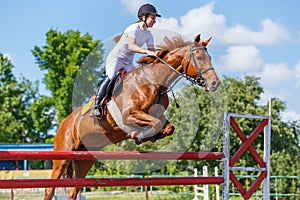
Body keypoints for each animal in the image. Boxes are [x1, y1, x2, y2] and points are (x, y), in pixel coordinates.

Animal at [44, 33, 220, 199]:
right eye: (199, 57)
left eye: (209, 57)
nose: (215, 83)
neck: (154, 82)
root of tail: (64, 123)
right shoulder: (128, 115)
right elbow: (154, 123)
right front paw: (139, 136)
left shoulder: (157, 115)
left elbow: (168, 127)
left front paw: (149, 136)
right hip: (62, 158)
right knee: (50, 189)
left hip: (84, 160)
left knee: (73, 190)